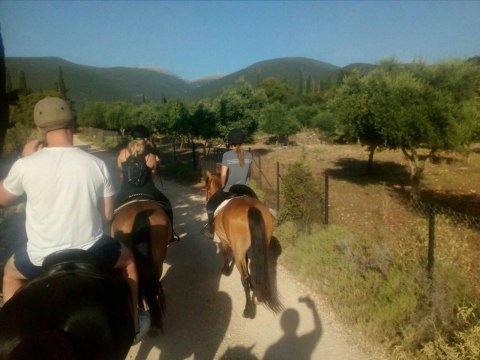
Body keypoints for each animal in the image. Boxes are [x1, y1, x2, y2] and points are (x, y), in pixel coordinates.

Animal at [205, 172, 282, 318]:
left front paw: (225, 270)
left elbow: (225, 254)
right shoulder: (243, 250)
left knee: (244, 278)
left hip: (238, 251)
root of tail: (251, 208)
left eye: (206, 187)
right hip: (262, 246)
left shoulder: (224, 241)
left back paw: (248, 310)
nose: (206, 198)